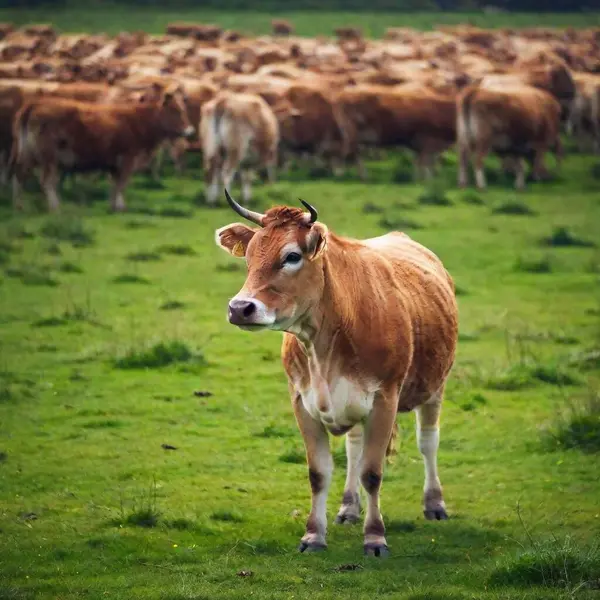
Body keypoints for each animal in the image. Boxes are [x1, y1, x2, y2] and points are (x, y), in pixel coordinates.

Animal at [11, 84, 195, 211]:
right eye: (175, 110)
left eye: (183, 109)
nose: (190, 131)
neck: (137, 120)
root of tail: (35, 103)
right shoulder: (127, 159)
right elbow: (121, 183)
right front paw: (121, 206)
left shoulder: (113, 163)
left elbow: (114, 184)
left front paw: (113, 205)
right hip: (49, 158)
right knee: (47, 181)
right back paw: (55, 207)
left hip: (27, 155)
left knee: (19, 175)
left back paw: (20, 206)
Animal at [213, 190, 458, 556]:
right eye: (250, 256)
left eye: (292, 256)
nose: (240, 308)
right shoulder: (302, 401)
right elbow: (319, 472)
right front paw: (314, 535)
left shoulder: (384, 399)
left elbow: (372, 472)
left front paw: (375, 538)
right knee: (354, 448)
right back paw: (348, 507)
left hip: (435, 385)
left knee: (428, 441)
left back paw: (434, 504)